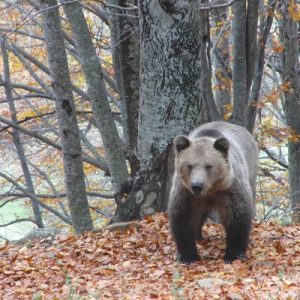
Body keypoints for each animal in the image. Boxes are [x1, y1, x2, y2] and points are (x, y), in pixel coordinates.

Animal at [168, 120, 258, 264]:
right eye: (189, 165)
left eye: (208, 166)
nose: (197, 185)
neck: (211, 190)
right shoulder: (186, 193)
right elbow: (183, 217)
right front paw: (188, 256)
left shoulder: (230, 189)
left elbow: (238, 216)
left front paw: (233, 255)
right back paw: (198, 237)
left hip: (251, 170)